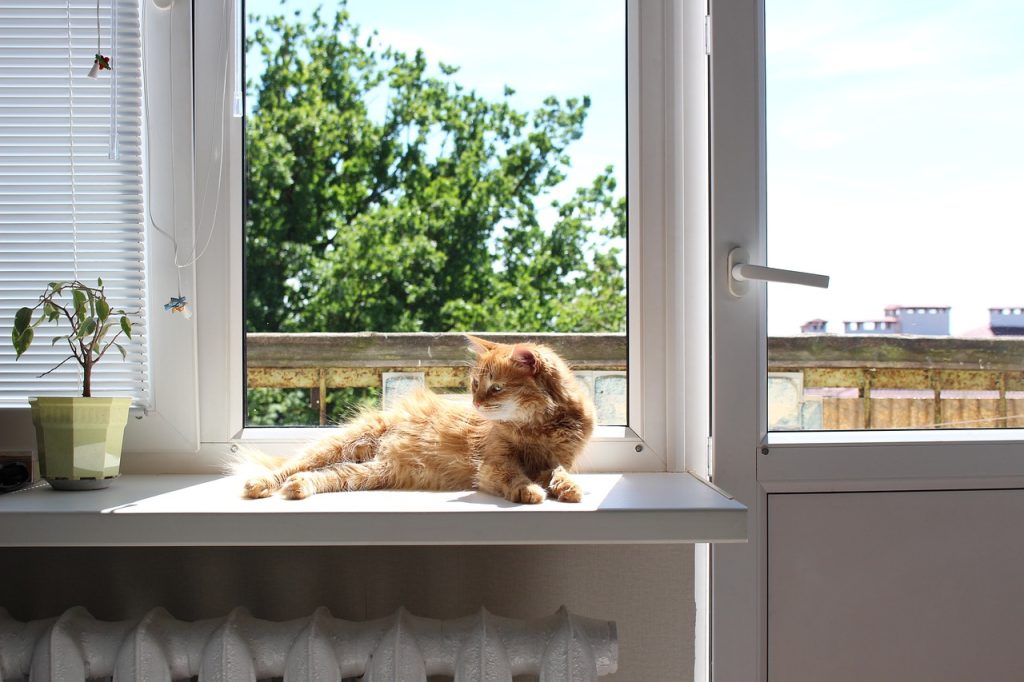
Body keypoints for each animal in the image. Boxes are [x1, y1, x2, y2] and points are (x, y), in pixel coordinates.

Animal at [235, 331, 598, 501]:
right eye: (474, 385)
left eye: (495, 389)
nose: (476, 403)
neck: (541, 426)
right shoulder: (495, 463)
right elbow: (515, 478)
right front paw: (531, 492)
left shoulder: (554, 460)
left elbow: (558, 472)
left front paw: (568, 489)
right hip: (339, 444)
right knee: (289, 467)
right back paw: (261, 485)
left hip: (370, 473)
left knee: (324, 475)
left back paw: (299, 487)